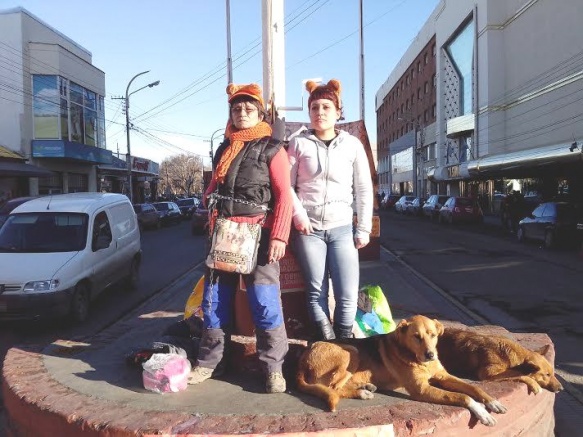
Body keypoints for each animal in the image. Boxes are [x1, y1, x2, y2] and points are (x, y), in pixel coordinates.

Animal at [296, 314, 506, 426]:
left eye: (433, 335)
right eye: (416, 337)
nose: (431, 355)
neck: (415, 357)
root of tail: (305, 353)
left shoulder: (443, 376)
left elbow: (473, 388)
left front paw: (492, 402)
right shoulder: (421, 389)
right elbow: (463, 396)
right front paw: (482, 412)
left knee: (337, 386)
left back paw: (365, 387)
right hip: (351, 352)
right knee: (332, 387)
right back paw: (362, 392)